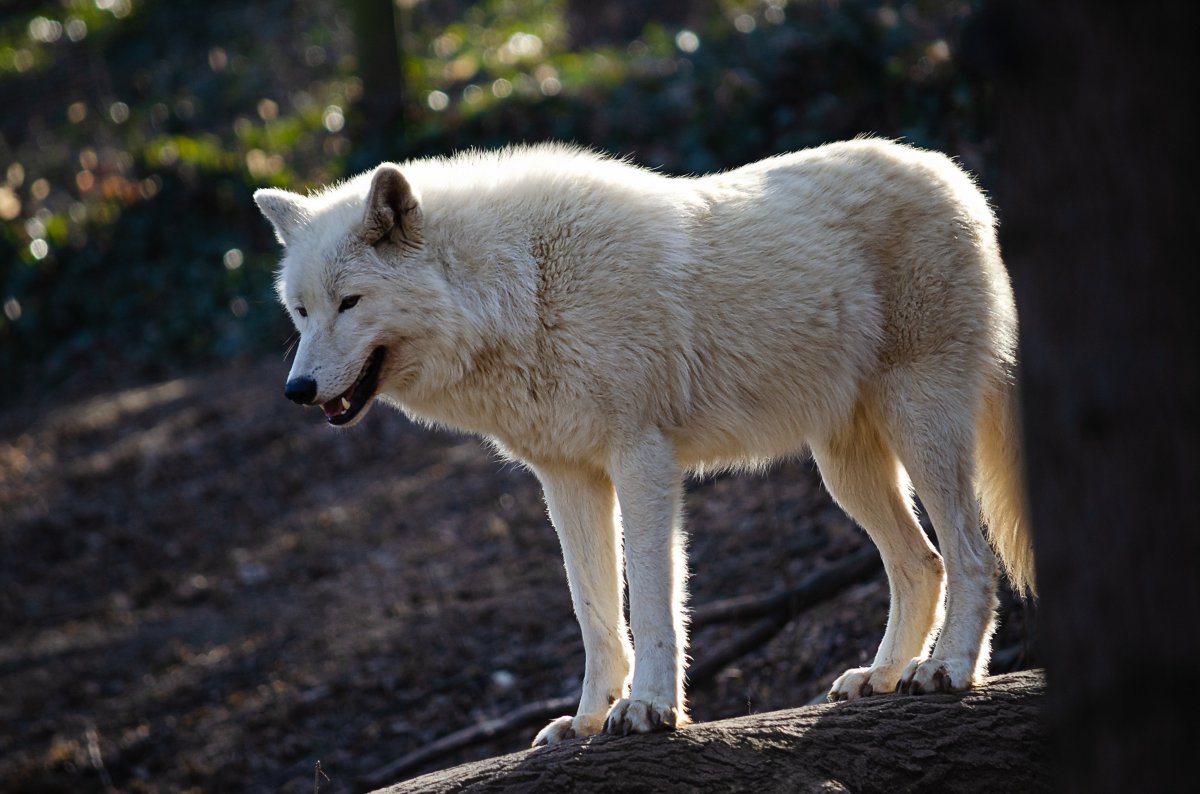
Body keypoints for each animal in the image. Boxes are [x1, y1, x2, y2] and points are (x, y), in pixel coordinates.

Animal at [253, 139, 1032, 748]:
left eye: (350, 302)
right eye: (301, 310)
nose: (296, 389)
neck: (524, 289)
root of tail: (958, 178)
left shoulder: (644, 460)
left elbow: (653, 600)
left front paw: (652, 709)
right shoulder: (567, 479)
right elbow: (594, 613)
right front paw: (587, 721)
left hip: (919, 424)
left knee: (971, 555)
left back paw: (948, 671)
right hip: (845, 469)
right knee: (922, 563)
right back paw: (882, 675)